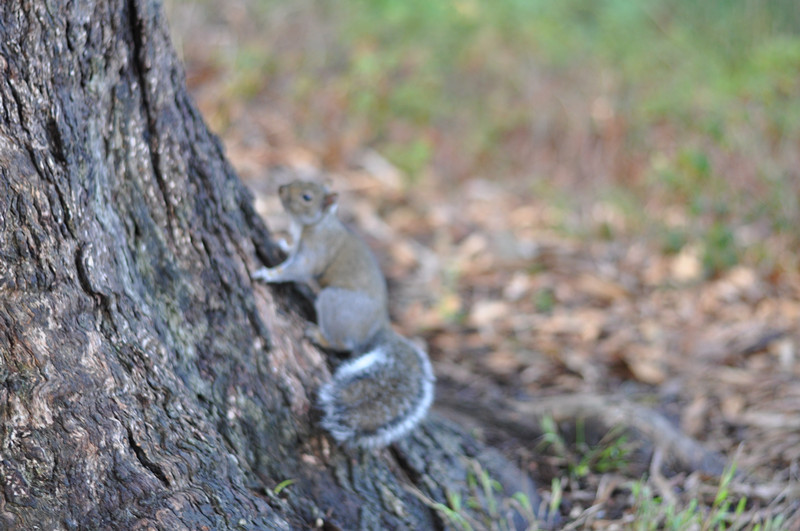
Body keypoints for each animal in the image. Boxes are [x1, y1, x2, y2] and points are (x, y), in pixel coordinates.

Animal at [253, 180, 434, 448]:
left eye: (307, 197)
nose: (281, 189)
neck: (316, 224)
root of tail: (378, 326)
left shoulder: (316, 251)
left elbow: (298, 270)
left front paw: (269, 274)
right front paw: (282, 245)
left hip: (334, 303)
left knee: (343, 343)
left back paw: (319, 336)